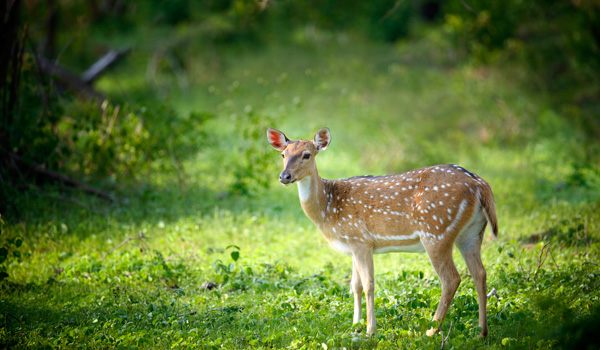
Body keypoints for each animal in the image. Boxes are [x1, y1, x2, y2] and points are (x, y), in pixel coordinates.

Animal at [268, 128, 496, 336]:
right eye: (283, 155)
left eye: (307, 154)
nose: (284, 176)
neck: (328, 207)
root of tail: (480, 185)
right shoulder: (353, 244)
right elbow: (355, 285)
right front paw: (355, 326)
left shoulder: (360, 240)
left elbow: (368, 284)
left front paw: (370, 331)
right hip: (472, 234)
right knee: (480, 273)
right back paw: (482, 332)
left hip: (436, 231)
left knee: (451, 279)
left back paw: (431, 332)